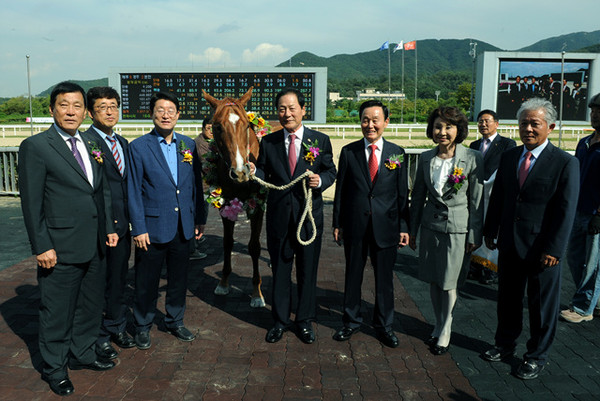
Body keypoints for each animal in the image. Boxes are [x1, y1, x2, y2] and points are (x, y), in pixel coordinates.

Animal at [202, 86, 264, 306]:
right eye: (217, 126)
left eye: (246, 125)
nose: (240, 172)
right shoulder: (225, 202)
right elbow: (227, 243)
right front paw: (223, 283)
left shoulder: (257, 206)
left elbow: (254, 246)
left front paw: (257, 293)